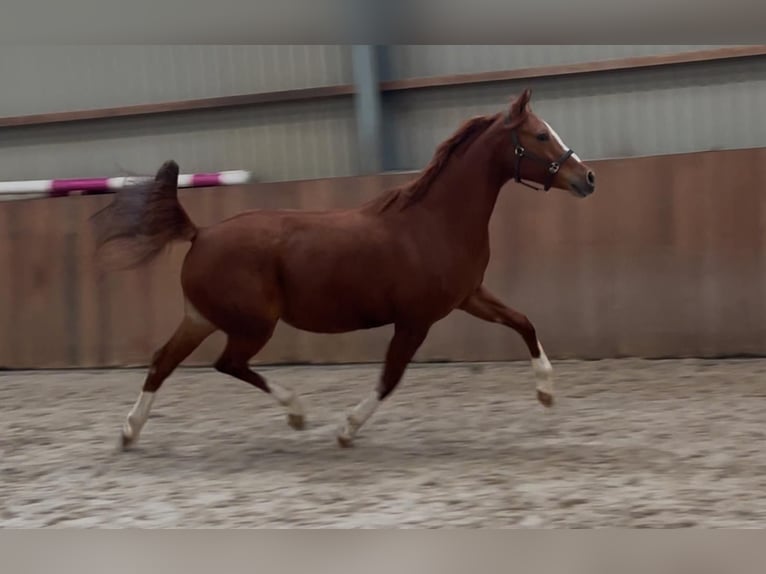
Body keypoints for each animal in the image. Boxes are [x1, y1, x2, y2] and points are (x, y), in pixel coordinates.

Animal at [93, 89, 600, 450]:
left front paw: (546, 394)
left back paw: (129, 432)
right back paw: (296, 413)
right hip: (253, 325)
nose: (588, 178)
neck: (433, 222)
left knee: (163, 361)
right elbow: (390, 378)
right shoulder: (415, 320)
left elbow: (523, 322)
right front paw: (347, 429)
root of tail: (200, 233)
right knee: (227, 363)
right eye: (540, 136)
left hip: (201, 318)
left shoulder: (468, 297)